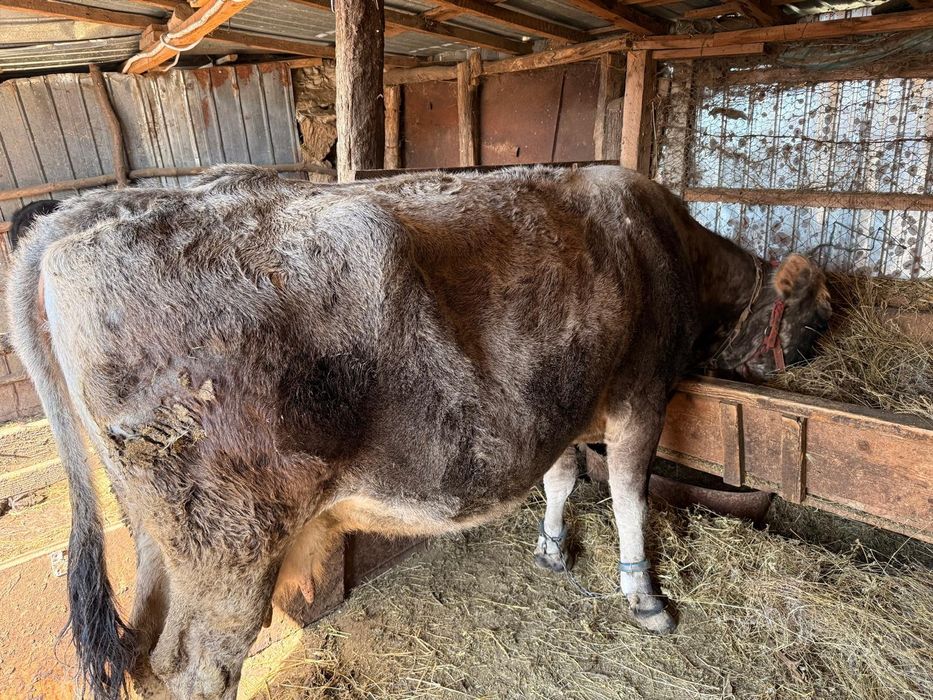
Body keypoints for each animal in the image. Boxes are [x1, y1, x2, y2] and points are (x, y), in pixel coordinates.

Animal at [6, 164, 831, 699]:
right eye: (821, 309)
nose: (815, 355)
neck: (669, 245)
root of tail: (72, 224)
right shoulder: (640, 390)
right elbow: (630, 493)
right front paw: (645, 599)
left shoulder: (562, 395)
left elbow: (563, 475)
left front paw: (551, 549)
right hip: (230, 544)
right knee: (198, 667)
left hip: (152, 532)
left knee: (143, 654)